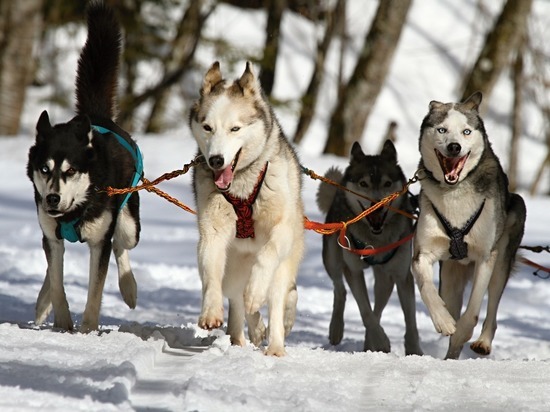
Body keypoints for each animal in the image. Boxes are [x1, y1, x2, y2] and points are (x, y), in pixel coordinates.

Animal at [27, 0, 142, 332]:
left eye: (70, 171)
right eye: (44, 169)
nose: (52, 198)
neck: (74, 210)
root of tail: (97, 117)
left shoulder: (99, 242)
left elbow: (95, 289)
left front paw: (88, 329)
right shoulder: (52, 235)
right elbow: (57, 281)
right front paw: (63, 323)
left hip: (129, 223)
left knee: (121, 245)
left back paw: (129, 288)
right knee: (51, 267)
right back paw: (42, 302)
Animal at [191, 59, 306, 356]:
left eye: (235, 129)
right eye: (207, 127)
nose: (216, 160)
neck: (242, 186)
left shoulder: (281, 230)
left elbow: (267, 256)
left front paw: (255, 292)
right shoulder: (212, 233)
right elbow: (210, 274)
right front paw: (210, 312)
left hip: (284, 266)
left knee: (276, 299)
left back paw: (275, 346)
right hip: (233, 269)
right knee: (237, 300)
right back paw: (243, 335)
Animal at [316, 141, 424, 354]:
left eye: (387, 184)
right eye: (363, 183)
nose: (377, 205)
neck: (376, 239)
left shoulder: (402, 274)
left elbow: (410, 320)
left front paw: (414, 351)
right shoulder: (353, 270)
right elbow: (365, 310)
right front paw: (380, 340)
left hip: (385, 278)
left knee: (379, 306)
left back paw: (368, 343)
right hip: (332, 258)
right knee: (340, 290)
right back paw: (336, 329)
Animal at [414, 91, 528, 358]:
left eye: (466, 131)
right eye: (442, 130)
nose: (454, 147)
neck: (455, 192)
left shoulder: (485, 257)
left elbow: (473, 310)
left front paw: (462, 332)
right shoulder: (423, 253)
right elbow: (427, 288)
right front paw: (443, 321)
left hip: (502, 260)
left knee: (492, 308)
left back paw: (482, 342)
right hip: (450, 277)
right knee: (450, 300)